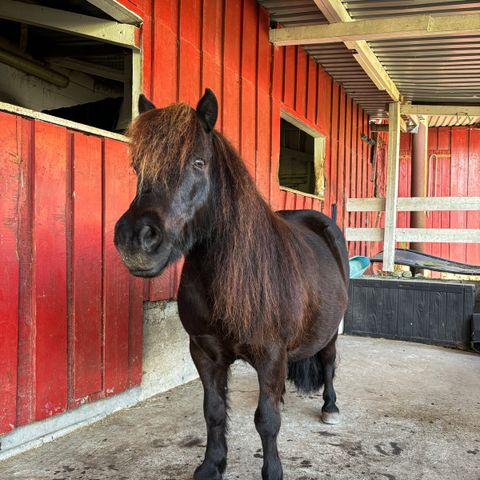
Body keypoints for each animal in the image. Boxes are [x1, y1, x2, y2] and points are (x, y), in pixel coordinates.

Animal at [115, 90, 350, 480]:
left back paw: (330, 407)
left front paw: (272, 472)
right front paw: (212, 465)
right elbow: (213, 411)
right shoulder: (205, 353)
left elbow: (267, 420)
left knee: (329, 362)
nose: (135, 239)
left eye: (198, 162)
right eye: (136, 166)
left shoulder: (270, 356)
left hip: (329, 332)